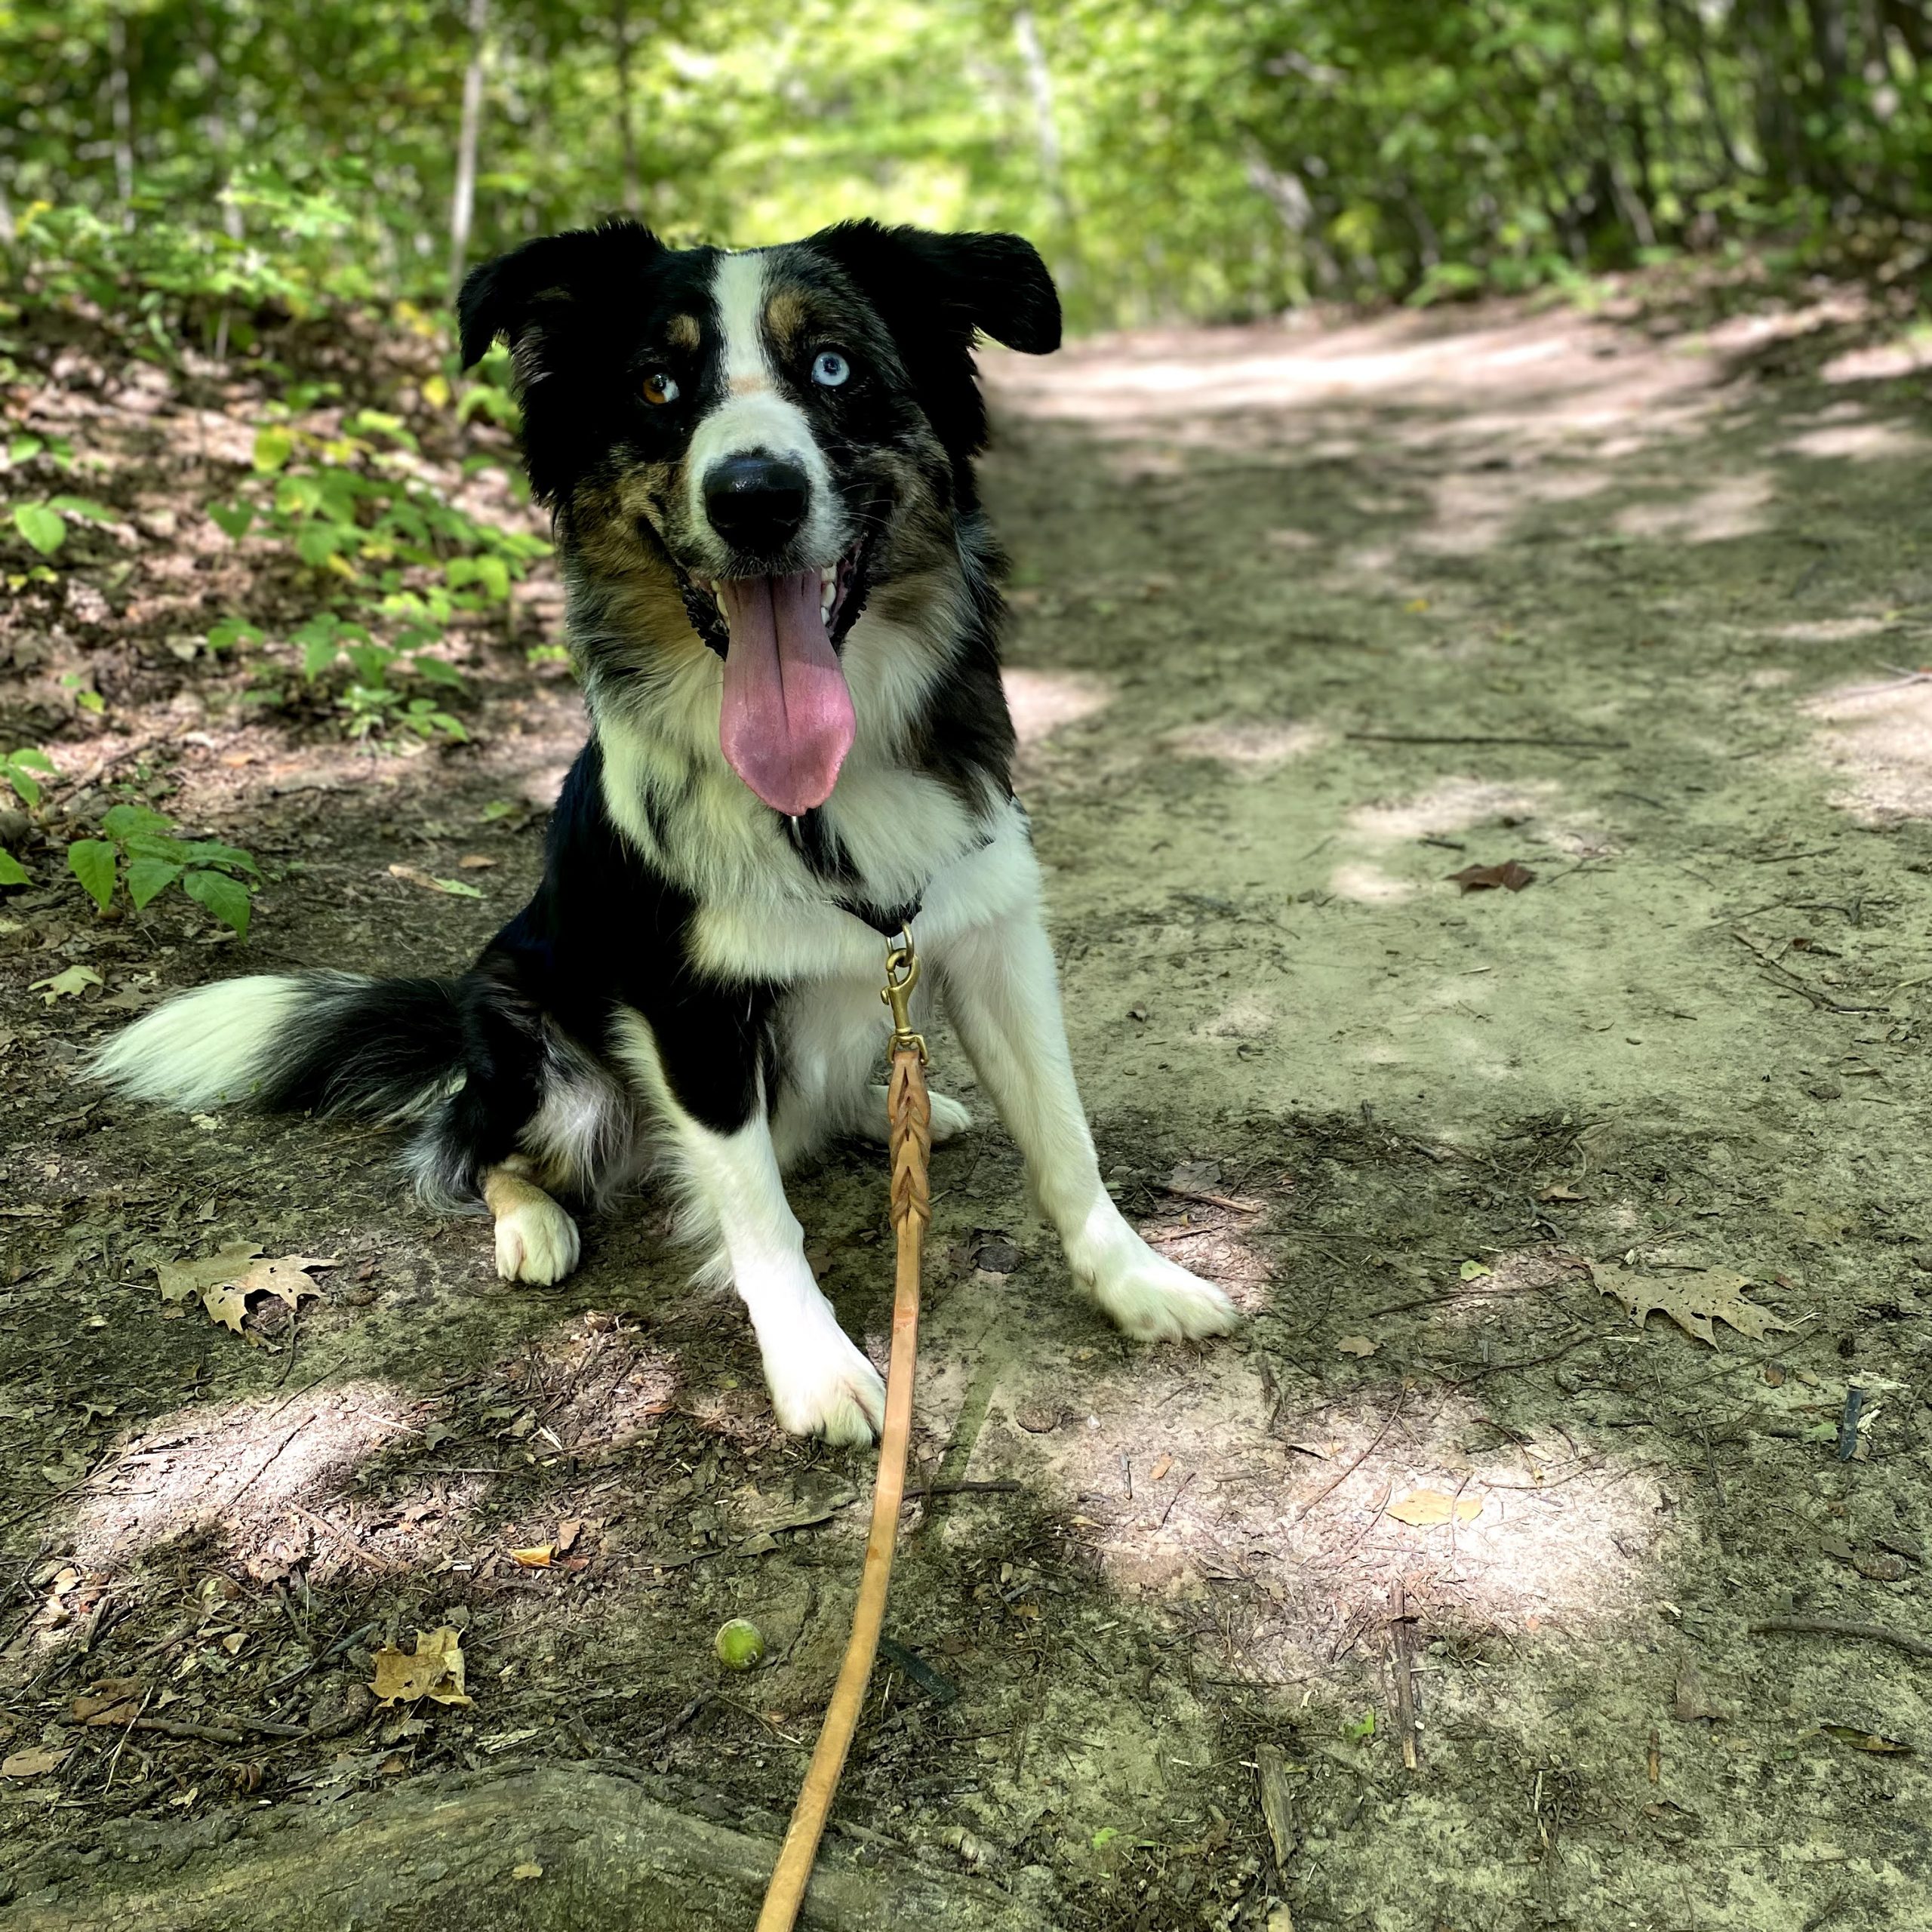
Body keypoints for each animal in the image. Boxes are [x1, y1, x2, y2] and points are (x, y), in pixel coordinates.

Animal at [92, 220, 1238, 1443]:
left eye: (833, 366)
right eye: (656, 385)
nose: (754, 496)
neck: (817, 796)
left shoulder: (992, 936)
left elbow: (1065, 1138)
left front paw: (1139, 1279)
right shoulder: (686, 1012)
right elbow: (759, 1213)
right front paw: (817, 1369)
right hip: (530, 1041)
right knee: (473, 1144)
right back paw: (532, 1221)